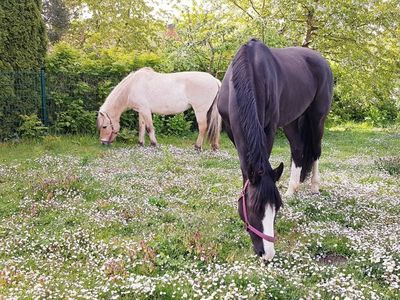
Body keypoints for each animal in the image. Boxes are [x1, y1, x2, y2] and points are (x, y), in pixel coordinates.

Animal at [217, 39, 332, 260]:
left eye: (277, 208)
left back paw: (314, 186)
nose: (267, 254)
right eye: (253, 209)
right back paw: (292, 189)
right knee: (298, 149)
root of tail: (322, 61)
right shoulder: (231, 131)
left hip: (317, 118)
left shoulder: (269, 128)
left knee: (315, 152)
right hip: (292, 120)